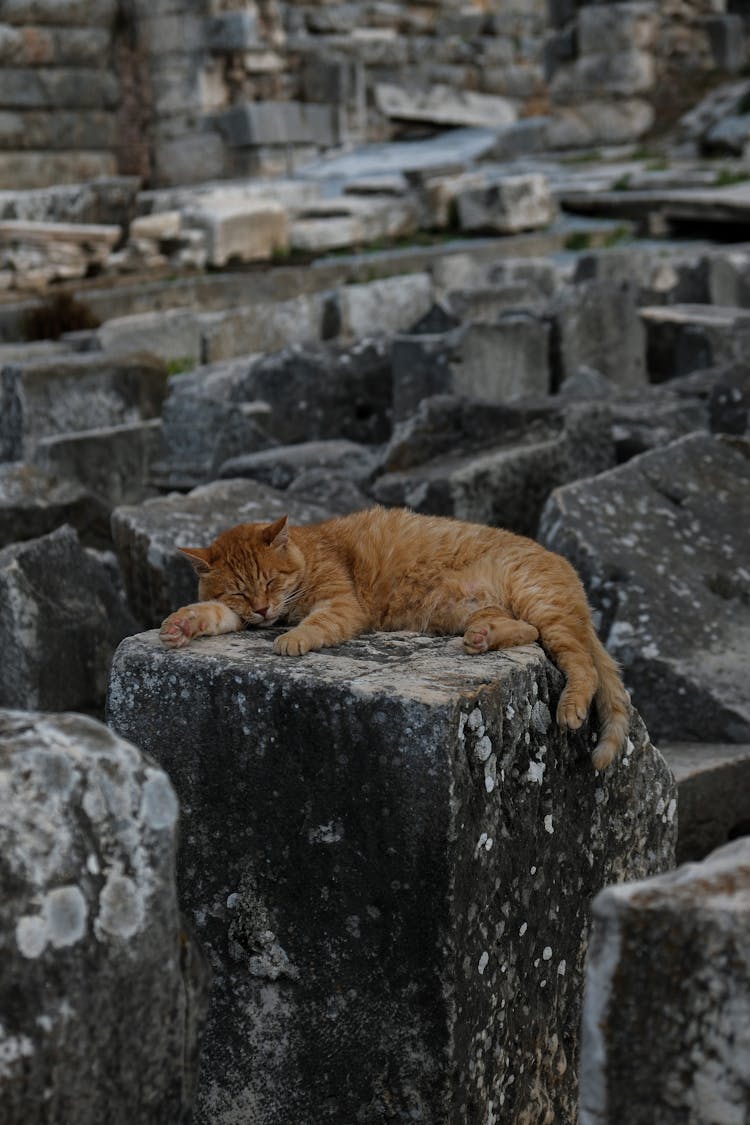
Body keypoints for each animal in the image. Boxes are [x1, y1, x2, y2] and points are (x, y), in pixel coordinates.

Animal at [161, 508, 629, 765]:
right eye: (241, 592)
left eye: (272, 581)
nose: (261, 608)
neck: (310, 551)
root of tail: (564, 565)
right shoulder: (239, 613)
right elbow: (210, 613)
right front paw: (182, 625)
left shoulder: (341, 603)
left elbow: (314, 624)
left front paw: (293, 638)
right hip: (472, 609)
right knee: (526, 631)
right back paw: (483, 636)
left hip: (542, 604)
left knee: (581, 664)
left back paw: (569, 707)